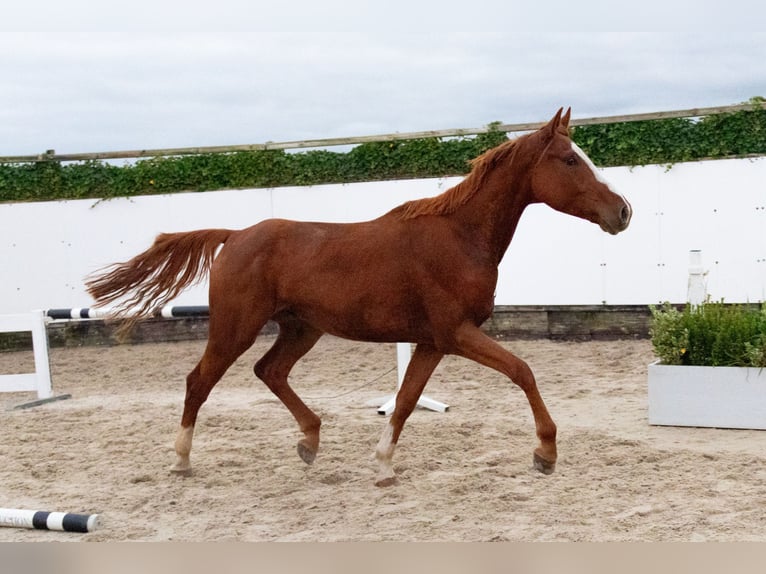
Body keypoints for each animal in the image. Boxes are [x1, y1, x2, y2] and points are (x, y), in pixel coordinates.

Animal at [86, 108, 631, 486]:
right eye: (569, 160)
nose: (623, 212)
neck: (460, 237)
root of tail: (234, 235)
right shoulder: (457, 333)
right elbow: (523, 371)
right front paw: (546, 454)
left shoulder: (433, 342)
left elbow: (407, 401)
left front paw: (384, 466)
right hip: (235, 327)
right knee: (199, 380)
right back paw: (181, 460)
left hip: (301, 328)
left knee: (270, 371)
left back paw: (309, 440)